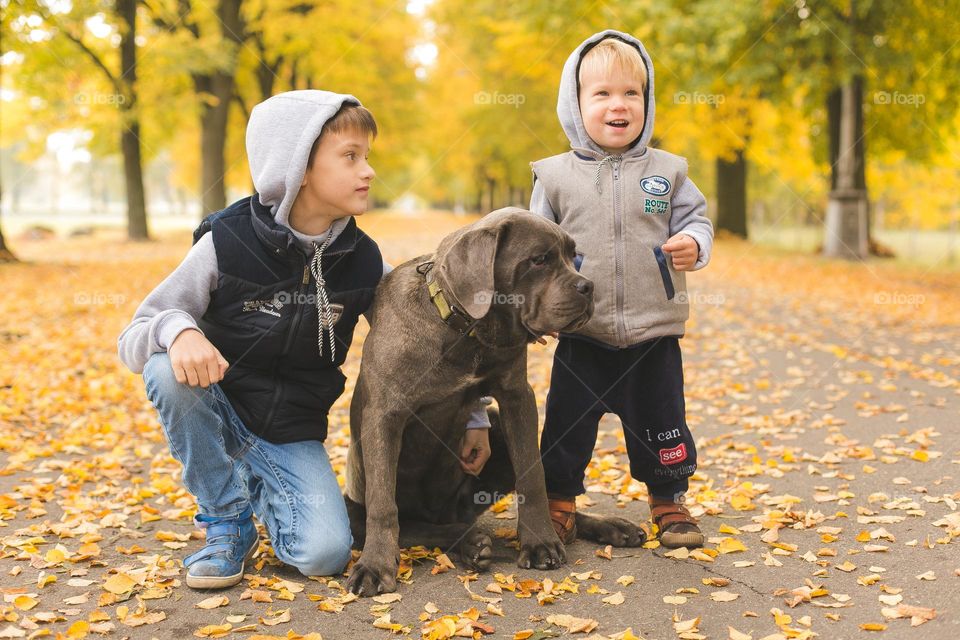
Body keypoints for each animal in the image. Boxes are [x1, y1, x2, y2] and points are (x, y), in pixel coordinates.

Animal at [344, 209, 644, 596]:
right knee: (419, 528)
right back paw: (472, 543)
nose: (588, 286)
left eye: (572, 255)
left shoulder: (517, 398)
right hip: (357, 512)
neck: (463, 329)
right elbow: (384, 504)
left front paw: (541, 543)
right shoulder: (384, 415)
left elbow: (533, 477)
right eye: (539, 260)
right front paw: (375, 566)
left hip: (496, 430)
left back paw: (611, 527)